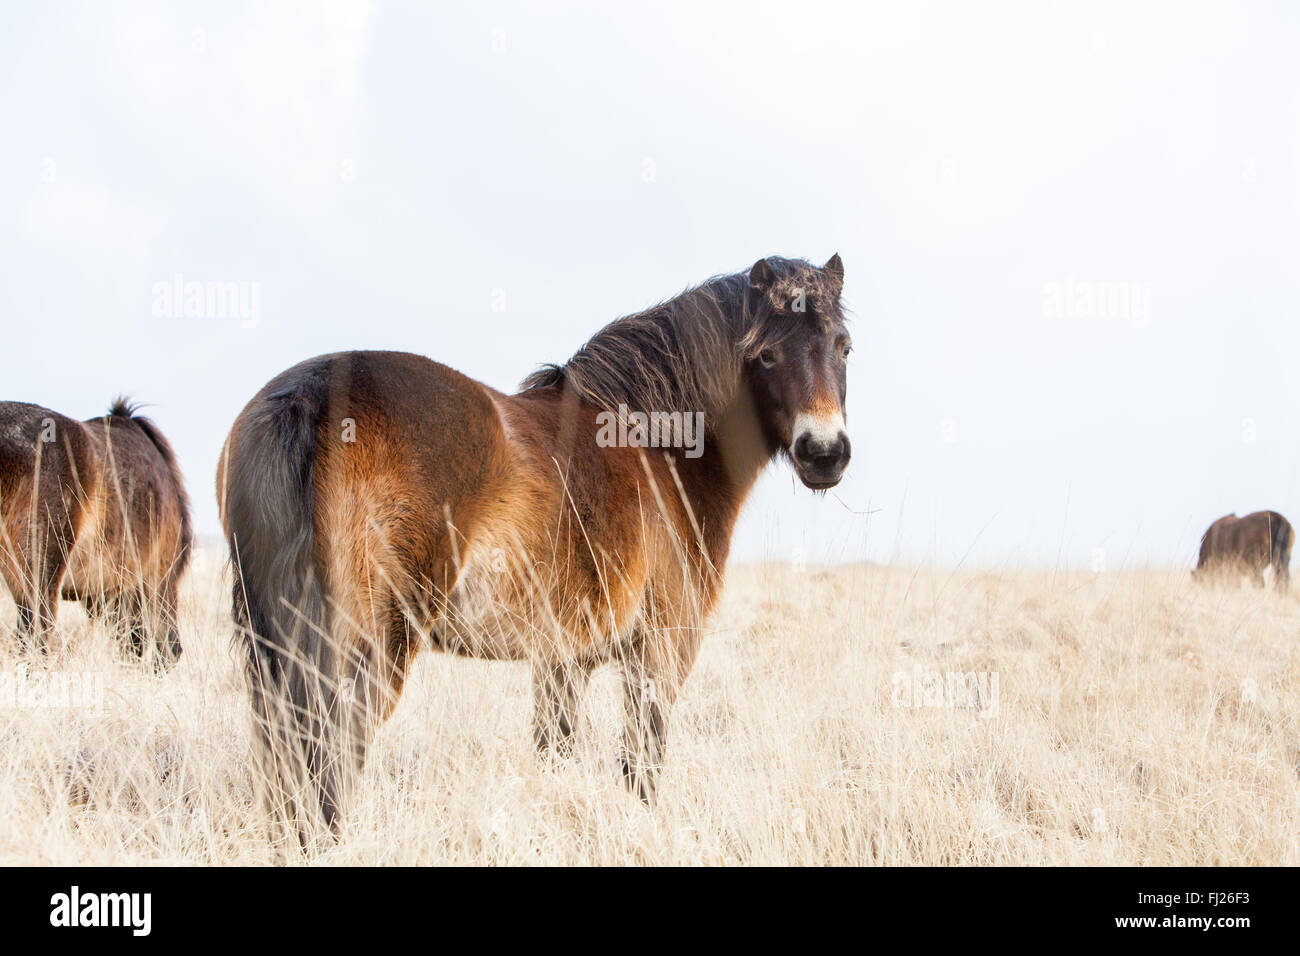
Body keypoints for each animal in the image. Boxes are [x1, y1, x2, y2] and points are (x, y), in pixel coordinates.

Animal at [218, 252, 852, 837]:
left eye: (843, 347)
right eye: (765, 355)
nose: (824, 452)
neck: (659, 445)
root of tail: (309, 395)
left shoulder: (563, 662)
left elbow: (556, 752)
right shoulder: (659, 654)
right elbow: (640, 769)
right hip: (367, 652)